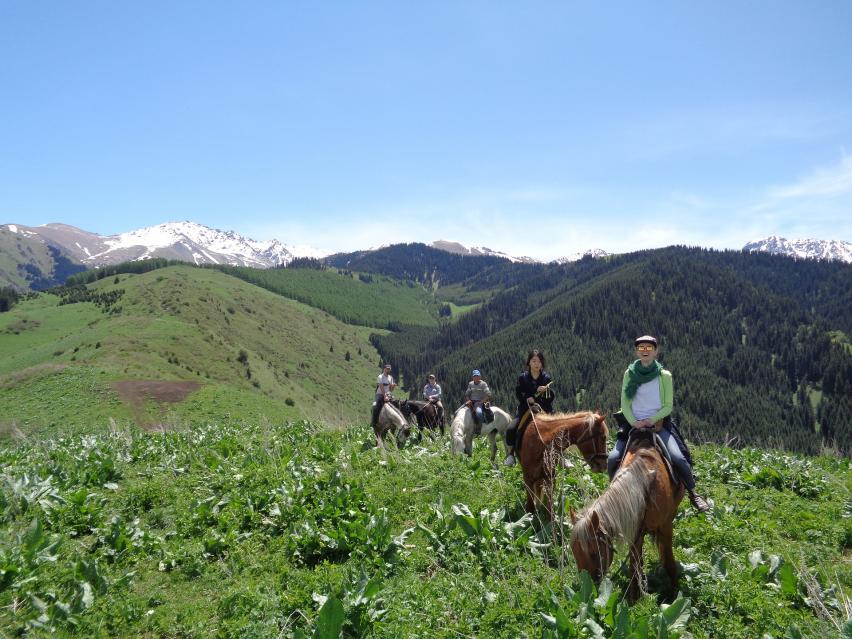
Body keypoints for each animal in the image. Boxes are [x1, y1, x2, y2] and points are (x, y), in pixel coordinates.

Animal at [568, 428, 684, 604]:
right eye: (574, 552)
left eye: (594, 553)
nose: (587, 586)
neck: (645, 487)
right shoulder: (635, 531)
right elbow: (634, 566)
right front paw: (633, 599)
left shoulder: (665, 527)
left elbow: (669, 562)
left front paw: (674, 596)